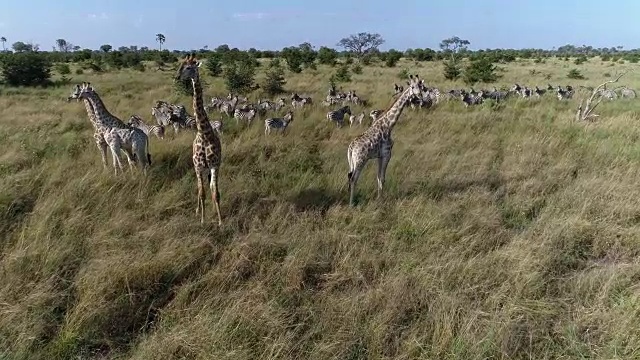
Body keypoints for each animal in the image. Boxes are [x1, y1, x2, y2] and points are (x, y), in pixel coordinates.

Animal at [175, 53, 222, 225]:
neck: (204, 133)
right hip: (198, 169)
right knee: (199, 188)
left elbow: (215, 193)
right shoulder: (199, 167)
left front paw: (220, 221)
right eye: (180, 65)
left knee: (210, 187)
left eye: (189, 67)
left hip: (209, 169)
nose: (177, 77)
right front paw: (202, 219)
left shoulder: (215, 166)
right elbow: (202, 193)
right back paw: (197, 211)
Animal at [344, 74, 424, 207]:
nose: (420, 95)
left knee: (349, 177)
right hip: (360, 161)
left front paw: (379, 198)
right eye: (412, 87)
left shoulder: (379, 156)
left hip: (352, 162)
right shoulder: (387, 154)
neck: (388, 125)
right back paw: (351, 204)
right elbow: (382, 178)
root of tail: (351, 148)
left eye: (420, 86)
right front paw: (381, 200)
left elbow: (378, 177)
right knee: (354, 179)